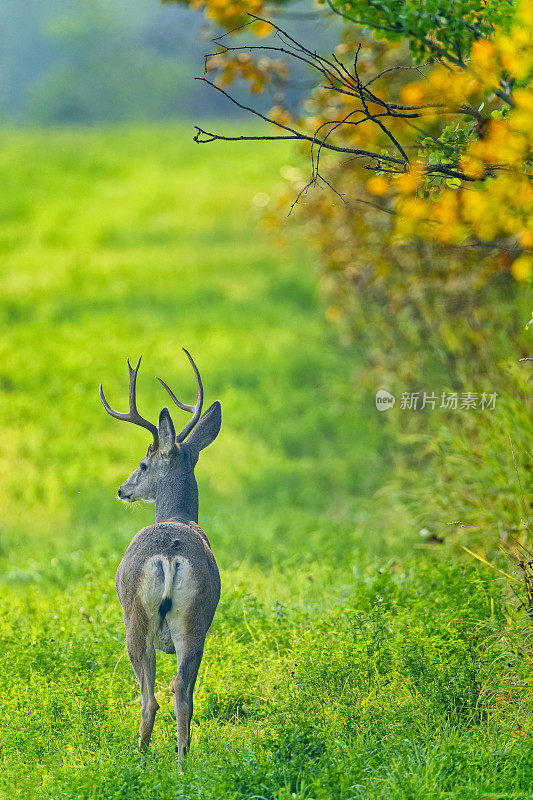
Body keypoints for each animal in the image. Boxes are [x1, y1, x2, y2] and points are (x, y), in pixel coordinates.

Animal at [99, 350, 220, 768]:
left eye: (142, 463)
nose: (122, 489)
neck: (177, 516)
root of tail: (169, 554)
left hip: (137, 621)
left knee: (150, 697)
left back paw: (140, 758)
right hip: (196, 621)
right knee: (183, 691)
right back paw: (183, 761)